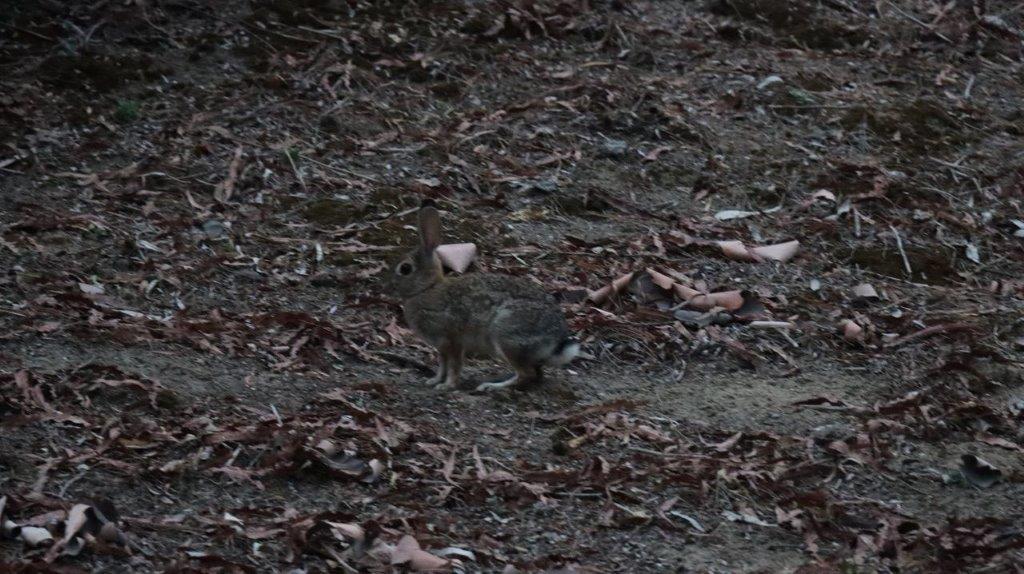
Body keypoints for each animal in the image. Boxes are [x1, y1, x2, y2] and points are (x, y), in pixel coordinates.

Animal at [391, 199, 581, 390]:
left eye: (405, 268)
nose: (386, 286)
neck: (427, 288)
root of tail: (556, 340)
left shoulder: (452, 340)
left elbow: (454, 365)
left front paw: (447, 386)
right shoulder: (441, 346)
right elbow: (442, 365)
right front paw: (434, 381)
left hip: (506, 335)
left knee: (526, 374)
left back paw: (490, 387)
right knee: (536, 374)